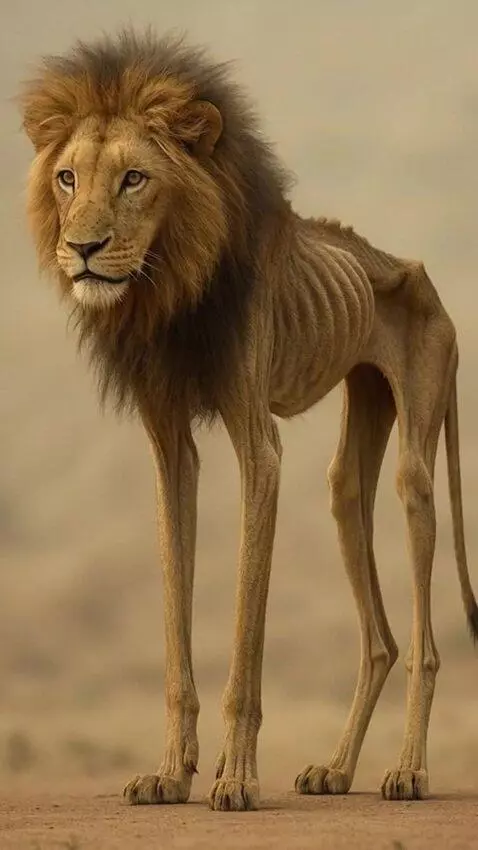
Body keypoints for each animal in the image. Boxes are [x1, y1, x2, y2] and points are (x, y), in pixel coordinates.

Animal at [19, 29, 477, 812]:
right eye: (68, 179)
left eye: (134, 178)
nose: (81, 249)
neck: (165, 291)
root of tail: (420, 274)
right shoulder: (169, 443)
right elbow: (176, 615)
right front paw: (169, 774)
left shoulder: (260, 447)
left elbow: (245, 631)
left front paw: (234, 778)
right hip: (348, 471)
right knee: (378, 636)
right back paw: (335, 771)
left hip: (419, 453)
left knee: (423, 641)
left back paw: (408, 772)